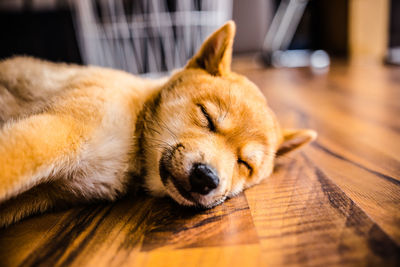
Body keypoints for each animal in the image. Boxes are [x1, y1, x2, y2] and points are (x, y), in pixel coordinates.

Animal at [0, 21, 316, 228]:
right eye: (207, 117)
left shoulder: (47, 190)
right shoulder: (60, 129)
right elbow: (11, 165)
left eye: (245, 164)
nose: (206, 177)